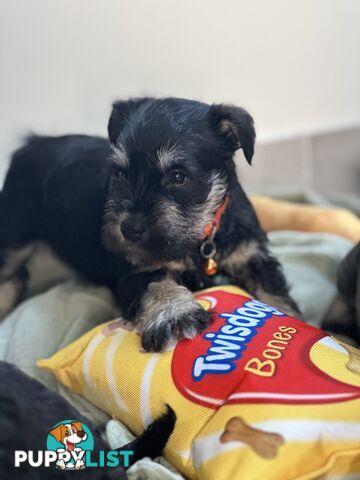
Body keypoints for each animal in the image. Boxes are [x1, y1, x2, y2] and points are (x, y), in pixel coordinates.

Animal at [0, 98, 298, 352]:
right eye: (120, 173)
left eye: (178, 176)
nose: (129, 229)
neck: (200, 237)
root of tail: (30, 145)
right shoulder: (136, 271)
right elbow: (157, 285)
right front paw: (176, 316)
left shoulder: (251, 258)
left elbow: (274, 294)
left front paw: (291, 320)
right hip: (13, 239)